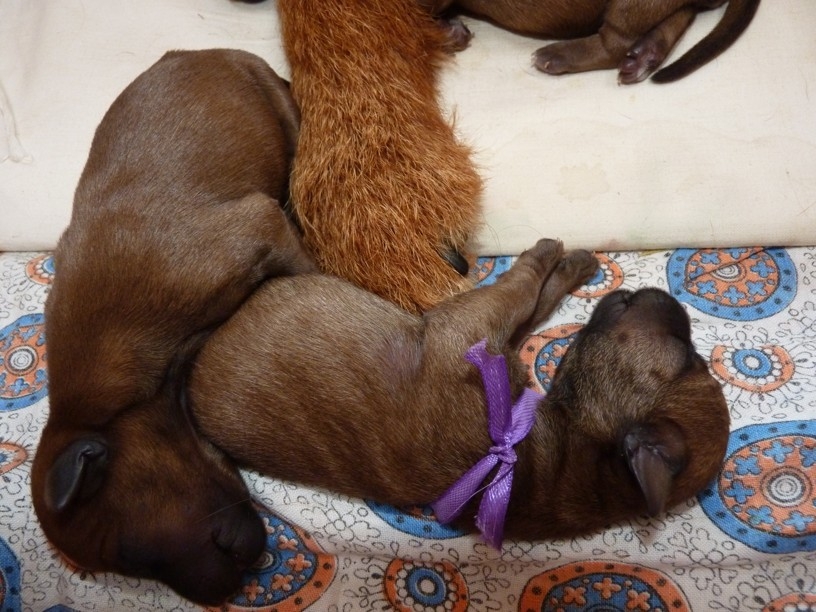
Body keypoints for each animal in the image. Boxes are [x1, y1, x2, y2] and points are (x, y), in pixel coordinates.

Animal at [31, 49, 317, 605]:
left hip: (280, 110)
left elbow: (314, 269)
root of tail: (199, 52)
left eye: (127, 556)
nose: (219, 594)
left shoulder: (259, 228)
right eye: (132, 569)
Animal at [189, 239, 730, 542]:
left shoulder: (469, 325)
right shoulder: (491, 332)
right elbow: (534, 299)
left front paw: (546, 252)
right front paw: (572, 264)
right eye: (693, 358)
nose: (674, 304)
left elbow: (519, 287)